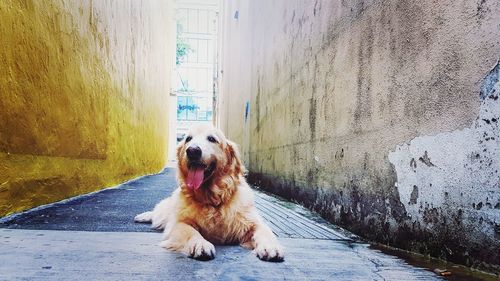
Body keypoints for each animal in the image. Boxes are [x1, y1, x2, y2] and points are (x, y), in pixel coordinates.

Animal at [136, 122, 286, 260]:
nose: (192, 151)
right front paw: (200, 244)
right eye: (188, 139)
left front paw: (270, 246)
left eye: (212, 139)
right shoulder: (178, 223)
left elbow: (265, 231)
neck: (213, 198)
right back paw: (143, 216)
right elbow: (190, 231)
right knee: (158, 213)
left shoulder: (253, 222)